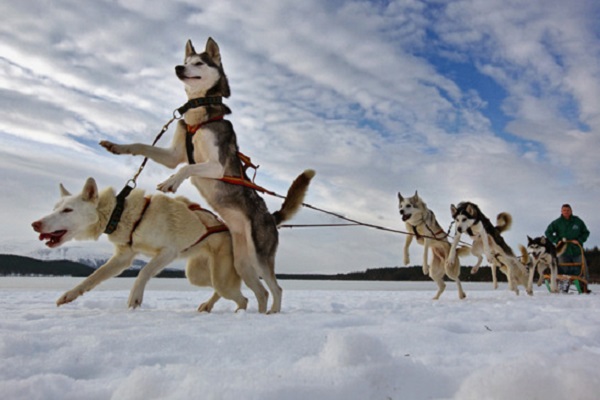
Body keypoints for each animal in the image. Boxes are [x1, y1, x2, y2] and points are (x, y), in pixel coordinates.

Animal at [31, 177, 248, 310]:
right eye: (55, 208)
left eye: (68, 210)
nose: (35, 224)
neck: (121, 213)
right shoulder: (123, 258)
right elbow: (93, 277)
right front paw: (70, 294)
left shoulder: (168, 252)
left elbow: (143, 272)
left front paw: (134, 298)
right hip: (197, 274)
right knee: (221, 290)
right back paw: (208, 305)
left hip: (218, 276)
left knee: (240, 297)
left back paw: (240, 311)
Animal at [99, 36, 314, 312]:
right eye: (186, 60)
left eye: (199, 63)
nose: (178, 68)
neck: (198, 116)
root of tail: (271, 216)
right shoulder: (173, 155)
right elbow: (142, 147)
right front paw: (116, 146)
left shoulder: (216, 165)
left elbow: (187, 168)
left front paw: (171, 182)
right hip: (242, 263)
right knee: (261, 292)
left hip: (259, 256)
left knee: (276, 289)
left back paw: (273, 314)